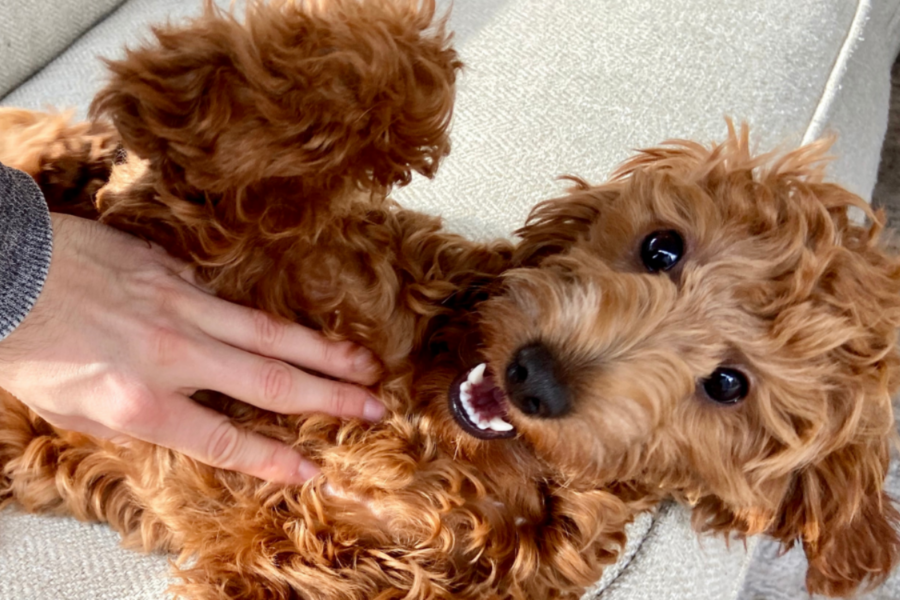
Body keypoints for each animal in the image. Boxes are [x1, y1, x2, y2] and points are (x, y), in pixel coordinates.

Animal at [1, 0, 900, 596]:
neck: (437, 420)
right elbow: (397, 79)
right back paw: (71, 153)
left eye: (728, 385)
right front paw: (198, 88)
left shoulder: (295, 558)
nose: (537, 377)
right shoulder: (241, 250)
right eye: (661, 248)